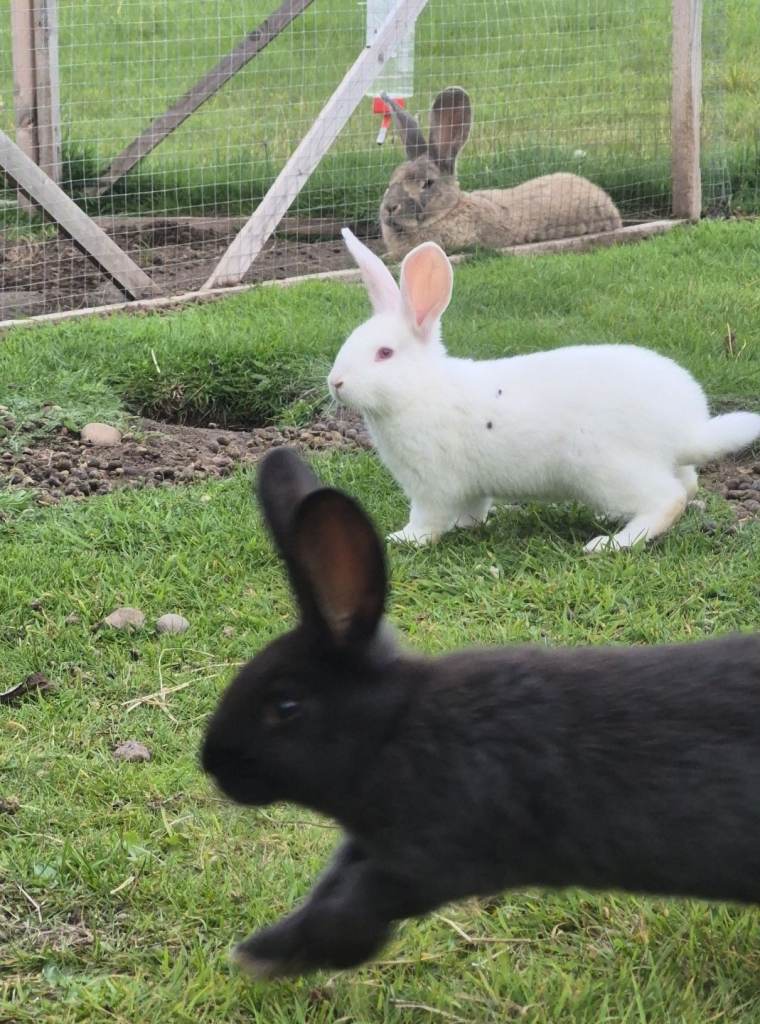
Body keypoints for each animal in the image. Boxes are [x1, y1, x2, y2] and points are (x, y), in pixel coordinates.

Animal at [201, 446, 760, 980]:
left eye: (285, 705)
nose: (211, 763)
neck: (395, 730)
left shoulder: (427, 857)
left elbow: (352, 912)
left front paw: (265, 958)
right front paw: (266, 946)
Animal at [327, 228, 760, 552]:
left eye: (384, 353)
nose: (335, 382)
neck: (420, 389)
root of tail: (685, 431)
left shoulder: (432, 486)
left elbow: (428, 518)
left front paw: (404, 538)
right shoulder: (470, 488)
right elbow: (474, 509)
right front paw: (471, 525)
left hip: (605, 468)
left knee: (667, 500)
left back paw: (609, 543)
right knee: (686, 488)